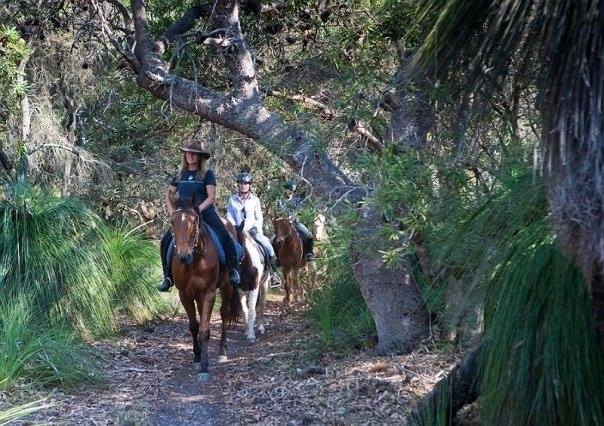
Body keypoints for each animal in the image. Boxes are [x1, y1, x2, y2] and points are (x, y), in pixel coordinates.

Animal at [170, 198, 238, 382]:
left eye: (194, 220)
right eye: (172, 221)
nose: (183, 256)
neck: (194, 261)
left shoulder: (209, 293)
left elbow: (204, 330)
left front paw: (204, 367)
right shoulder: (184, 295)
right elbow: (194, 326)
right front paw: (197, 357)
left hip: (227, 287)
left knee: (224, 313)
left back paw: (222, 351)